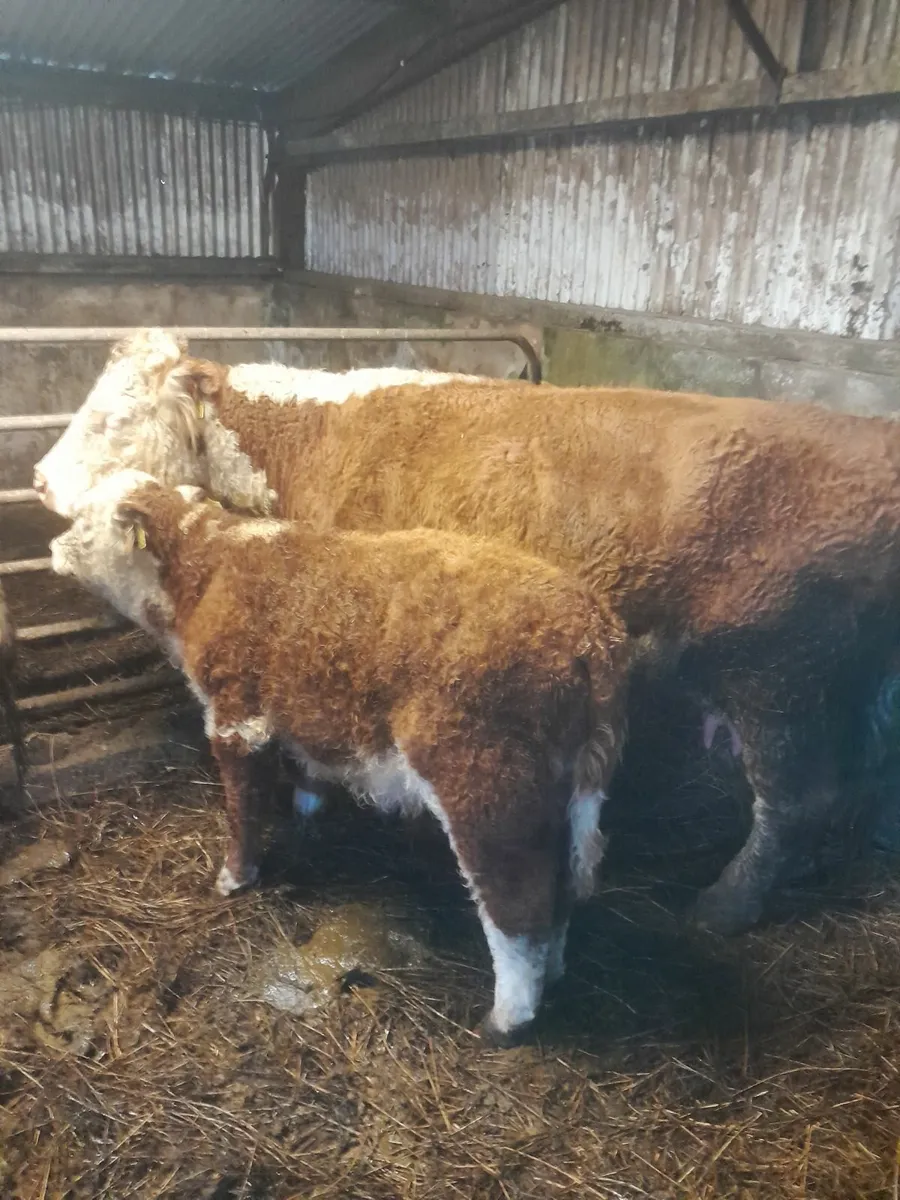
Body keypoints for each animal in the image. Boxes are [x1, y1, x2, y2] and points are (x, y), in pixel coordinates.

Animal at [33, 330, 900, 935]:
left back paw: (724, 906)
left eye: (115, 415)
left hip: (776, 672)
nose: (38, 481)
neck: (313, 440)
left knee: (794, 798)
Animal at [49, 469, 631, 1046]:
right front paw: (309, 815)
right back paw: (551, 975)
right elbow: (309, 771)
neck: (208, 565)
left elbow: (241, 805)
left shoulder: (235, 713)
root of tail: (590, 630)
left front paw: (234, 877)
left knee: (517, 906)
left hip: (485, 779)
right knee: (558, 886)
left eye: (81, 519)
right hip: (560, 784)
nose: (52, 547)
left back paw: (506, 1019)